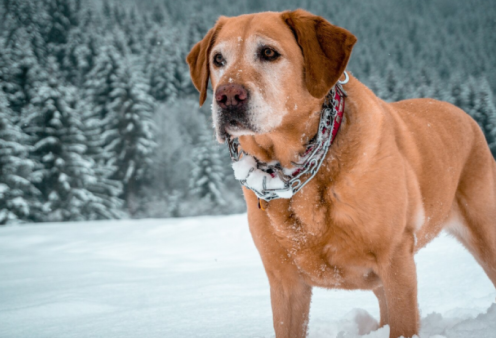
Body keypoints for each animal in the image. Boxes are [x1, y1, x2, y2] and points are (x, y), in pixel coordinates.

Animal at [185, 8, 496, 338]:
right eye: (218, 59)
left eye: (268, 53)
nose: (228, 96)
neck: (296, 174)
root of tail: (461, 112)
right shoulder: (284, 283)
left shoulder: (396, 260)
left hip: (485, 231)